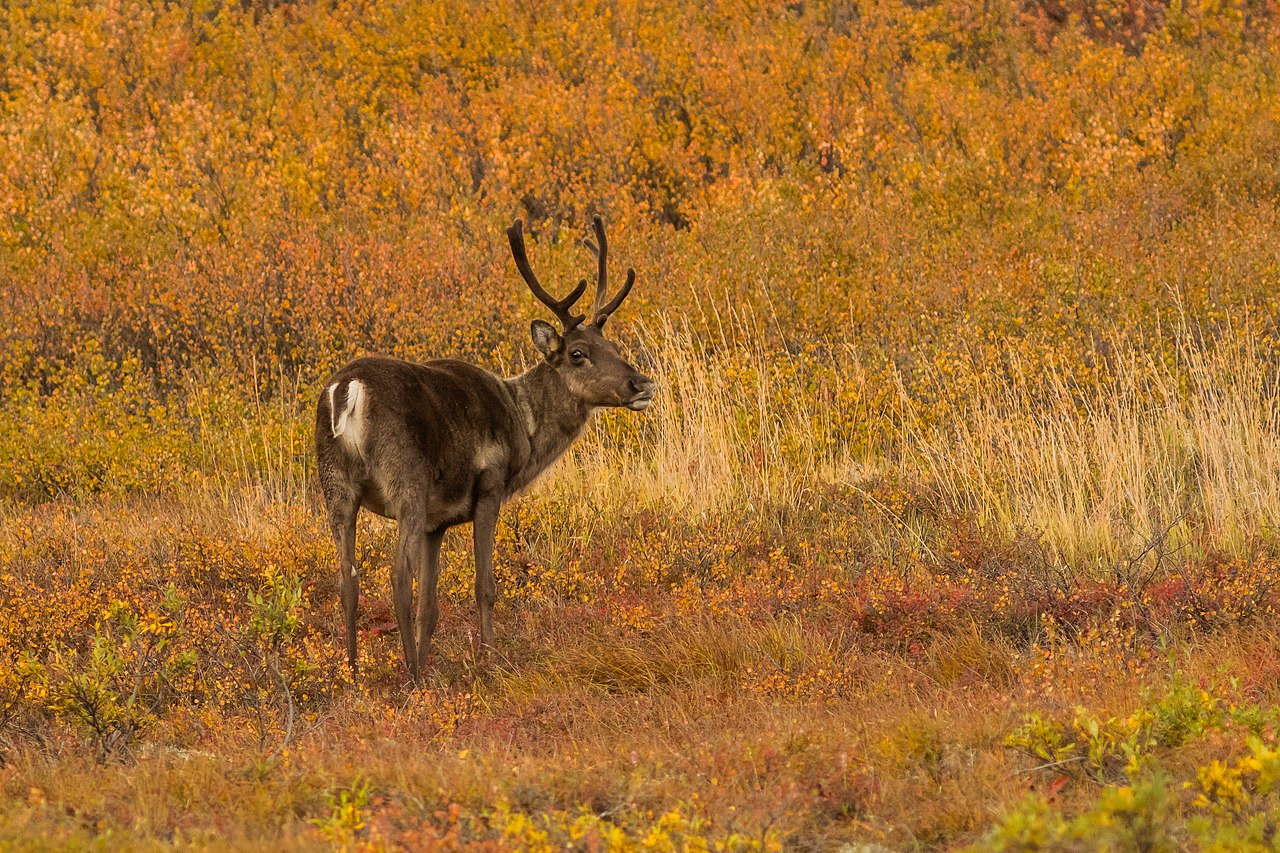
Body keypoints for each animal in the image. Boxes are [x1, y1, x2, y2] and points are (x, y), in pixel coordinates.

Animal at [315, 217, 655, 680]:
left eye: (615, 348)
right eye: (577, 353)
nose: (641, 383)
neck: (524, 427)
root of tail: (346, 391)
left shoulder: (436, 523)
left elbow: (431, 605)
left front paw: (433, 660)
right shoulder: (489, 486)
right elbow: (483, 585)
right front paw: (490, 660)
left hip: (335, 484)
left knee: (347, 578)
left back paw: (353, 673)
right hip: (406, 479)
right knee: (397, 575)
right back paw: (412, 678)